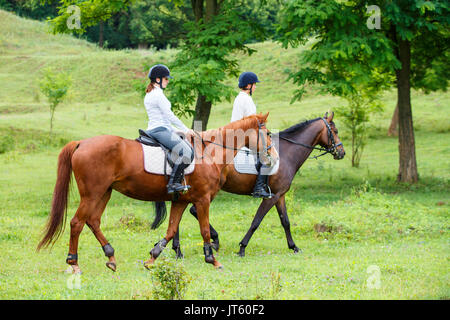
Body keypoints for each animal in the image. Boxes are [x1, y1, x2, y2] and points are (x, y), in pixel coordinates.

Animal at [37, 113, 278, 272]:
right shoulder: (202, 200)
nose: (274, 158)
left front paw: (152, 258)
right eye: (267, 133)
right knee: (77, 223)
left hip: (104, 192)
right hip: (92, 194)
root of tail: (81, 143)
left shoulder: (181, 201)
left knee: (93, 221)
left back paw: (111, 256)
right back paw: (74, 262)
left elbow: (171, 230)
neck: (209, 152)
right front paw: (213, 260)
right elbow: (204, 231)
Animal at [161, 112, 344, 258]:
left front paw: (294, 247)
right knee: (191, 211)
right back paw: (202, 243)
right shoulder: (271, 197)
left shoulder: (280, 196)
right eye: (334, 131)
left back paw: (178, 249)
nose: (342, 152)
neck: (287, 153)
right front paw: (242, 247)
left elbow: (285, 221)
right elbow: (256, 221)